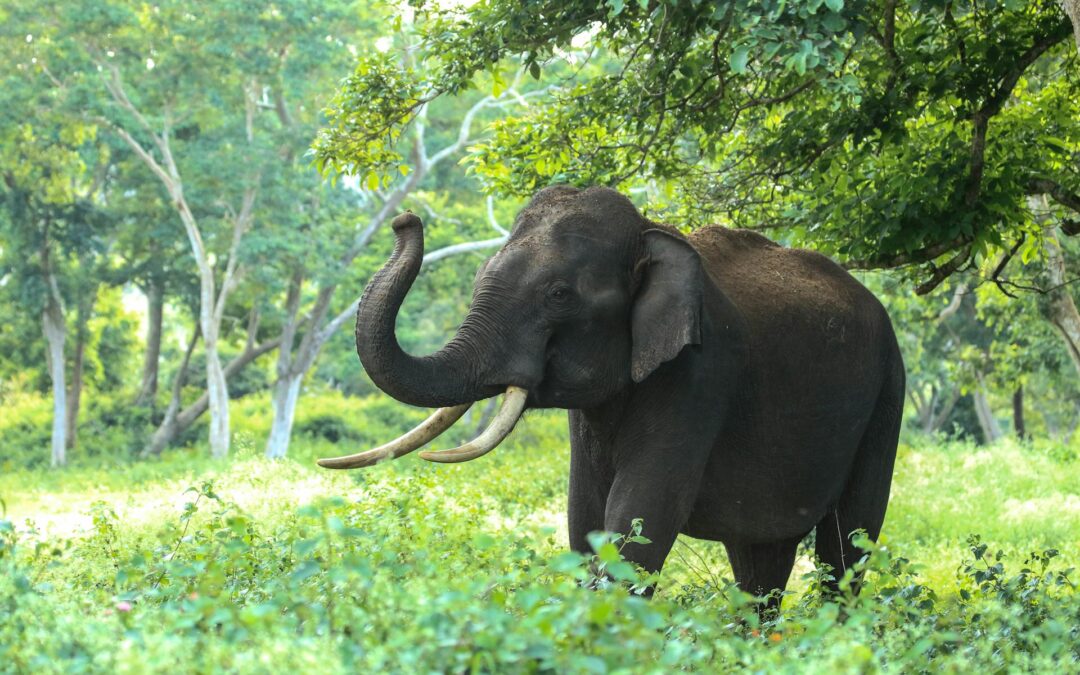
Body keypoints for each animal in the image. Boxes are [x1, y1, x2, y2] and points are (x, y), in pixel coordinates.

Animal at [317, 184, 902, 604]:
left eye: (558, 295)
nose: (405, 219)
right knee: (760, 561)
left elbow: (640, 515)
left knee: (847, 544)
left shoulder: (701, 374)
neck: (651, 233)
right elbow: (586, 517)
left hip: (887, 391)